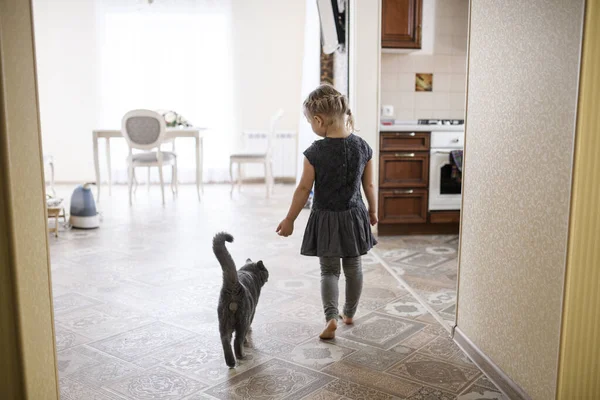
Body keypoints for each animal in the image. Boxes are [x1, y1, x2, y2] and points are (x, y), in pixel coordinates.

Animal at [211, 231, 268, 368]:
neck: (248, 271)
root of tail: (233, 287)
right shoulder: (253, 311)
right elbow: (249, 327)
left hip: (223, 320)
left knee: (225, 340)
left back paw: (231, 362)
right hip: (243, 318)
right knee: (238, 340)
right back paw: (242, 355)